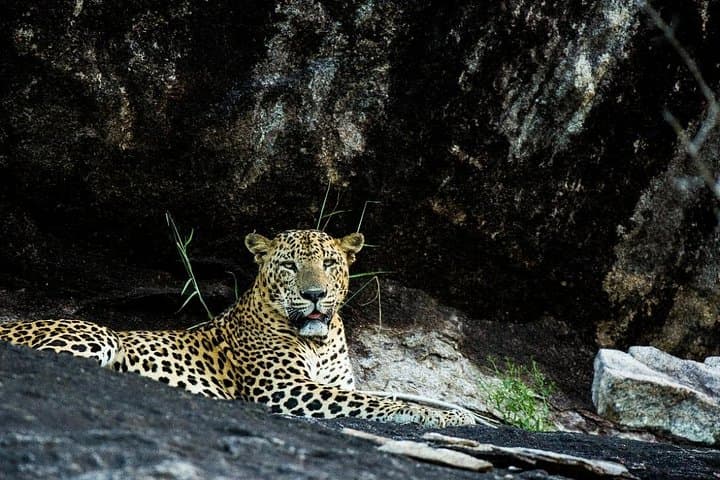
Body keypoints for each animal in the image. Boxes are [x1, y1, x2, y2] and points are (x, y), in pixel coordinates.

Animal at [0, 229, 476, 427]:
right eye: (290, 265)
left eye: (329, 263)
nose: (316, 294)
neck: (320, 342)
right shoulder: (284, 388)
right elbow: (377, 401)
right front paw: (446, 415)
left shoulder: (331, 381)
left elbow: (374, 395)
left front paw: (452, 411)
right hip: (97, 332)